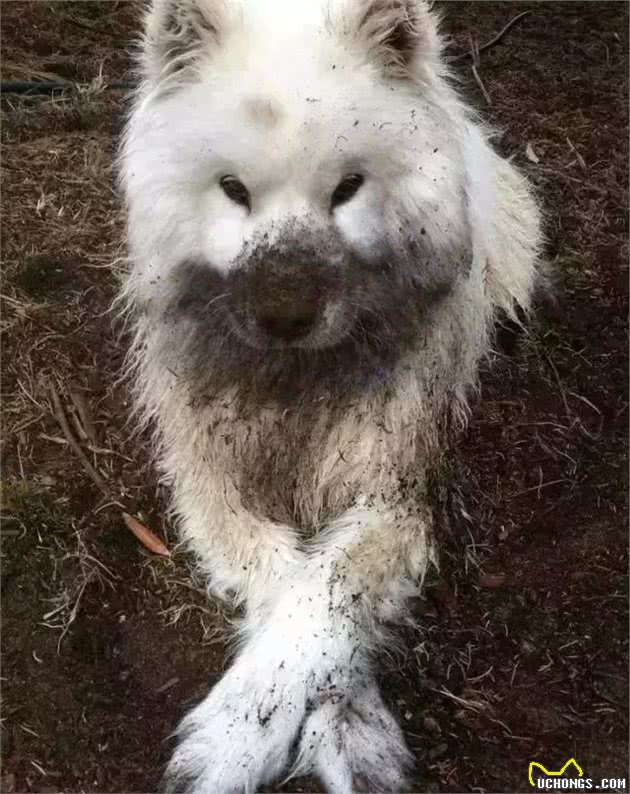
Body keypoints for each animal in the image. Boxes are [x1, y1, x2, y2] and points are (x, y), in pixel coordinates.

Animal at [119, 3, 544, 788]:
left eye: (348, 188)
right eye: (232, 189)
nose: (285, 317)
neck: (299, 385)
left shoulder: (394, 489)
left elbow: (324, 591)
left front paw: (264, 734)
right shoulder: (213, 483)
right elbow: (282, 580)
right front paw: (268, 733)